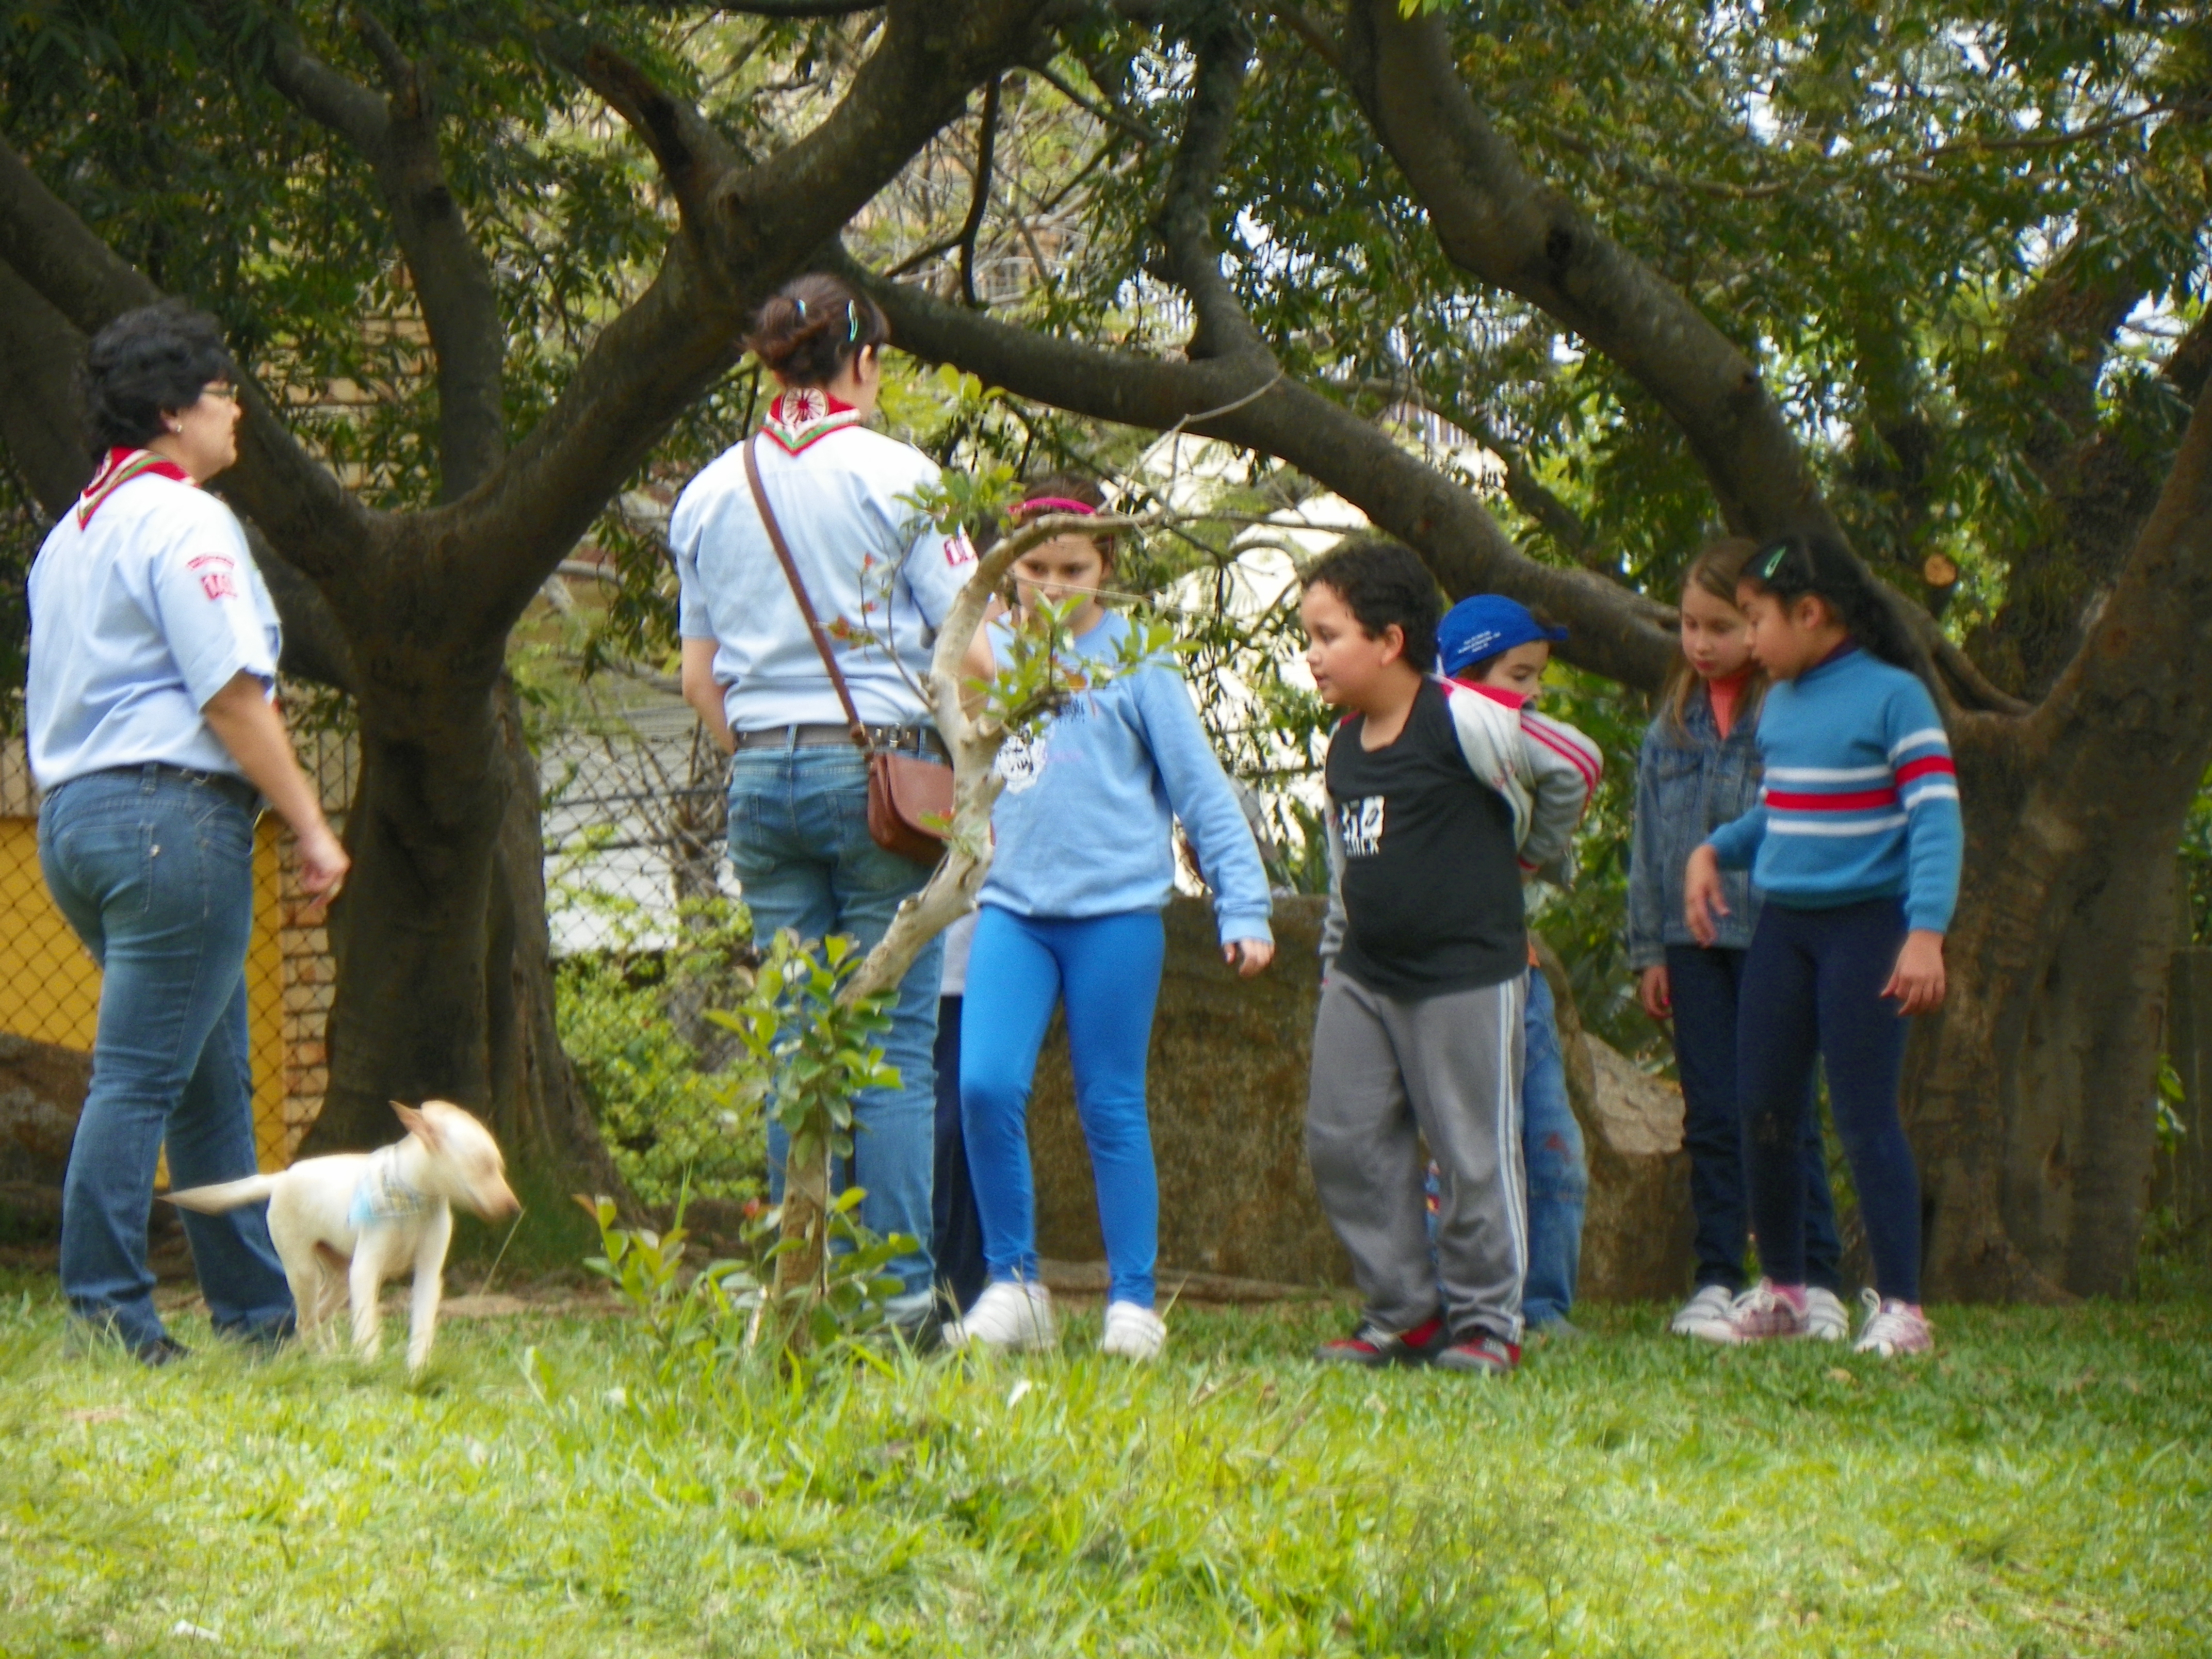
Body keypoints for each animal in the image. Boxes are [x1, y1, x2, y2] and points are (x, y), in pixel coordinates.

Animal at [166, 1101, 520, 1373]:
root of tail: (281, 1177)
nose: (515, 1210)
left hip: (338, 1275)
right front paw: (369, 1366)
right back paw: (323, 1360)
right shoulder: (365, 1270)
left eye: (500, 1167)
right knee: (307, 1320)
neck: (413, 1197)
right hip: (305, 1271)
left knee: (317, 1314)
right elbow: (367, 1328)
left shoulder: (427, 1275)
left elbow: (421, 1326)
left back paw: (324, 1355)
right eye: (482, 1165)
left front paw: (416, 1370)